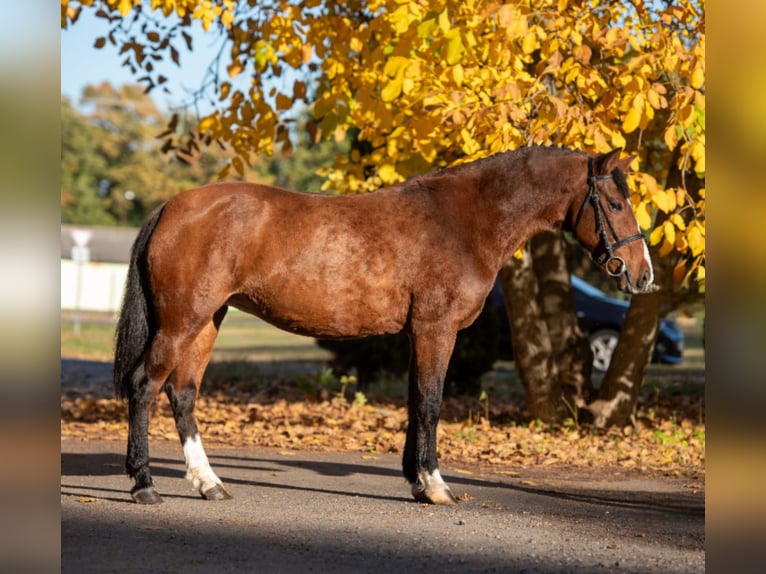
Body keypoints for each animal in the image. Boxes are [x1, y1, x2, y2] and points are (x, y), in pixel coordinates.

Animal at [114, 146, 653, 505]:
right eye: (616, 203)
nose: (642, 273)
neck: (461, 220)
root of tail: (171, 207)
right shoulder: (437, 329)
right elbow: (431, 403)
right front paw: (436, 486)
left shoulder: (419, 334)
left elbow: (415, 402)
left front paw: (416, 481)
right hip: (182, 321)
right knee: (144, 386)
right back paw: (144, 485)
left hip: (207, 320)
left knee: (182, 393)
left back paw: (209, 483)